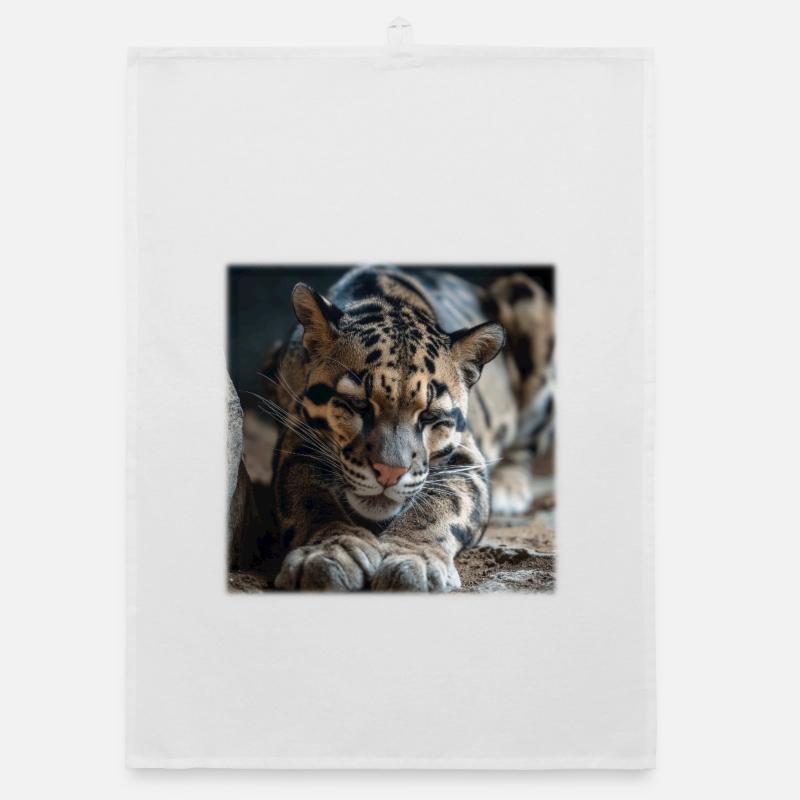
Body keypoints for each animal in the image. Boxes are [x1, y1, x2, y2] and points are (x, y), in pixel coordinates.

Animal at [253, 264, 554, 591]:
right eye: (359, 405)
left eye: (430, 416)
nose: (389, 473)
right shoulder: (297, 437)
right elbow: (309, 495)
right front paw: (331, 551)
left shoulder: (465, 454)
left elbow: (442, 502)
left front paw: (413, 558)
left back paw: (508, 489)